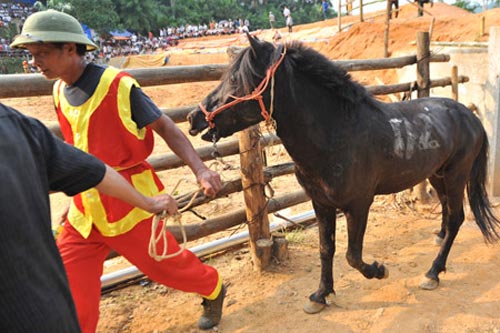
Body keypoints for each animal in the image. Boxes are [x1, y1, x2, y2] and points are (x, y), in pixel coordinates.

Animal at [188, 35, 500, 312]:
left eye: (234, 80)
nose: (194, 117)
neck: (338, 133)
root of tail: (470, 116)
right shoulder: (321, 203)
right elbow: (326, 249)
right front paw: (320, 295)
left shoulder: (359, 205)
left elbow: (353, 256)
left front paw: (379, 270)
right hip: (437, 175)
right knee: (447, 210)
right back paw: (439, 240)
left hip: (456, 175)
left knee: (458, 217)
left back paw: (433, 272)